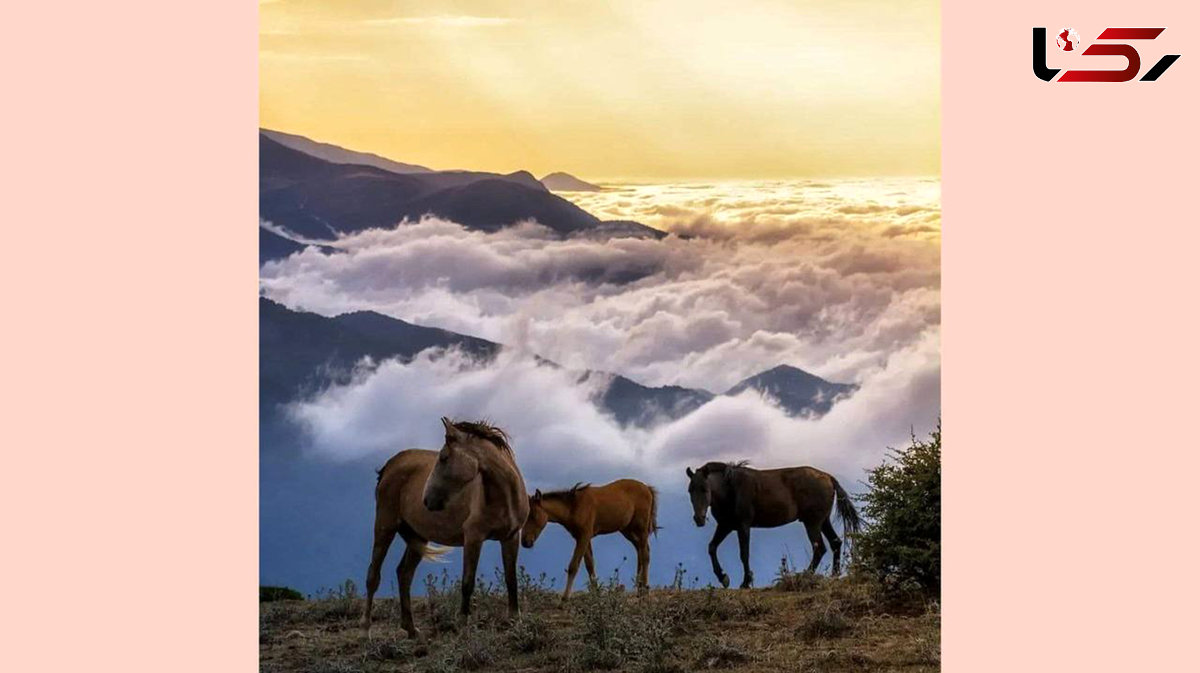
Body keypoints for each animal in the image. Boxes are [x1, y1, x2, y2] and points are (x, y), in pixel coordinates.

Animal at [355, 415, 525, 638]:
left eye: (444, 457)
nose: (427, 500)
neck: (504, 496)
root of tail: (390, 465)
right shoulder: (473, 537)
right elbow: (467, 582)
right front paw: (462, 625)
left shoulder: (511, 537)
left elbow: (511, 579)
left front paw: (515, 621)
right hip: (385, 526)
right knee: (373, 576)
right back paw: (365, 630)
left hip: (418, 536)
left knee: (404, 574)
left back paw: (411, 629)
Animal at [523, 477, 662, 597]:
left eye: (533, 515)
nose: (525, 542)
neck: (574, 506)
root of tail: (647, 488)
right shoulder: (582, 537)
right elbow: (589, 565)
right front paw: (596, 594)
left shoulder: (584, 536)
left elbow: (573, 566)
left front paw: (564, 599)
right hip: (627, 530)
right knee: (640, 551)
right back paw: (639, 588)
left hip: (641, 528)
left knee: (645, 554)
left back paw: (645, 590)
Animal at [686, 458, 854, 585]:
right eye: (690, 490)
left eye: (704, 489)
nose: (699, 519)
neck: (731, 489)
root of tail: (828, 477)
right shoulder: (725, 526)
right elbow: (712, 547)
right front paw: (723, 578)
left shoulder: (743, 526)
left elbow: (744, 554)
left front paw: (745, 583)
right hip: (823, 521)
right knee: (835, 543)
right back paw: (834, 575)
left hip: (812, 523)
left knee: (820, 549)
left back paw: (805, 575)